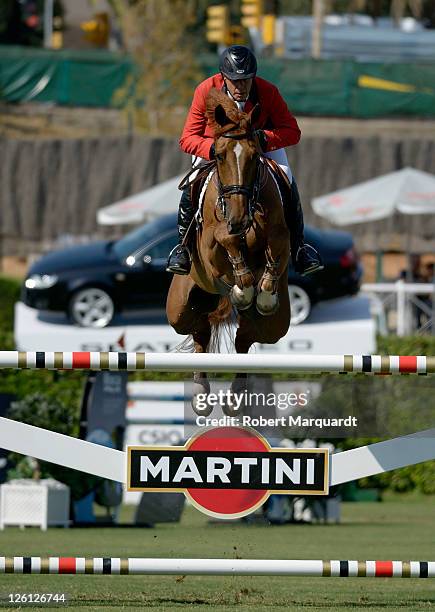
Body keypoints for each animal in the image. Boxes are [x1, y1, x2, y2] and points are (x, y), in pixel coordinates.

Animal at [167, 88, 292, 414]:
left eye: (254, 156)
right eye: (220, 155)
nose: (238, 218)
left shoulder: (281, 236)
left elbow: (273, 256)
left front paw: (261, 293)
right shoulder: (212, 243)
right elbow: (226, 240)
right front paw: (242, 289)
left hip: (274, 327)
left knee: (243, 341)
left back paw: (236, 397)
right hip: (180, 307)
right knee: (199, 331)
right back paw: (200, 394)